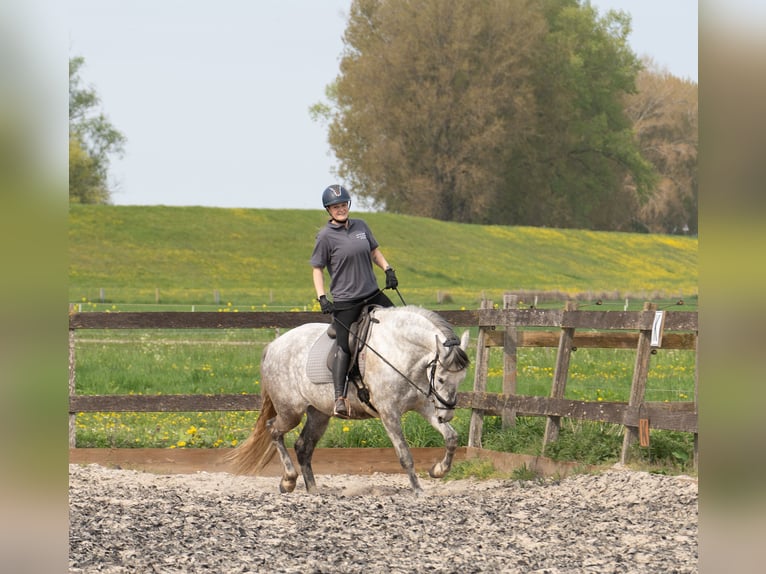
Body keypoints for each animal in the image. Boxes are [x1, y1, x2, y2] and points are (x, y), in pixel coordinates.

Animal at [227, 305, 470, 495]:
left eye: (462, 379)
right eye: (440, 378)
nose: (446, 414)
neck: (399, 350)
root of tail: (273, 345)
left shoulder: (425, 405)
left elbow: (451, 438)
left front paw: (438, 470)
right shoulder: (389, 413)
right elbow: (404, 455)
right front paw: (418, 490)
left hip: (319, 414)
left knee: (303, 446)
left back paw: (313, 490)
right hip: (290, 412)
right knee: (274, 430)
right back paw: (288, 480)